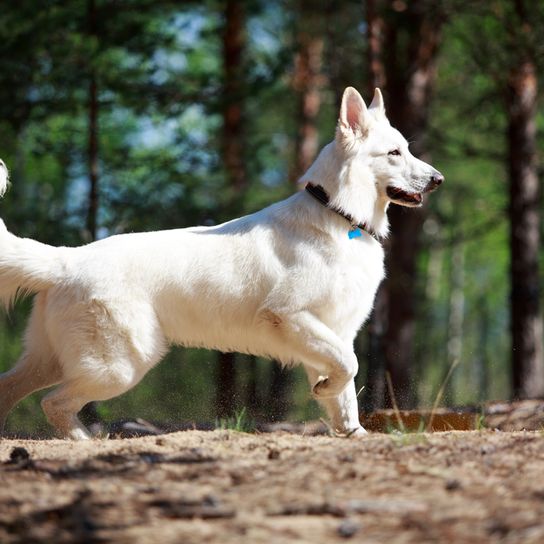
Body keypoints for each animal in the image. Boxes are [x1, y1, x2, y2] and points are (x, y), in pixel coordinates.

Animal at [0, 88, 442, 438]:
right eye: (394, 153)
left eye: (406, 148)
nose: (438, 179)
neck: (338, 214)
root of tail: (66, 258)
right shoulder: (292, 316)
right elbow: (349, 367)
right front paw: (328, 396)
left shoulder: (335, 330)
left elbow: (346, 387)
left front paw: (351, 431)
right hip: (119, 366)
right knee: (54, 404)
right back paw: (84, 442)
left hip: (52, 361)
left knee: (11, 390)